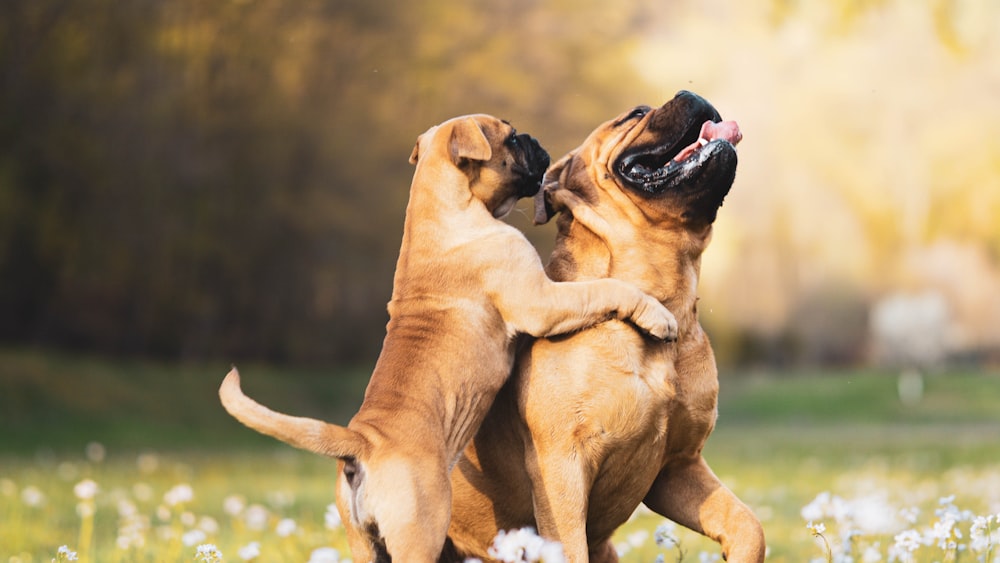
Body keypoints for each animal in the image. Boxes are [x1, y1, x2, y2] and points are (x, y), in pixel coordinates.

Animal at [215, 114, 676, 563]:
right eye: (511, 139)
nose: (534, 139)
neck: (440, 206)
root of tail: (362, 442)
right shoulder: (541, 302)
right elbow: (604, 290)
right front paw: (657, 314)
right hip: (420, 532)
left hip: (363, 543)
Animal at [446, 93, 764, 563]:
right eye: (635, 115)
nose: (694, 95)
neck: (662, 299)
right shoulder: (563, 468)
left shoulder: (678, 466)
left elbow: (747, 525)